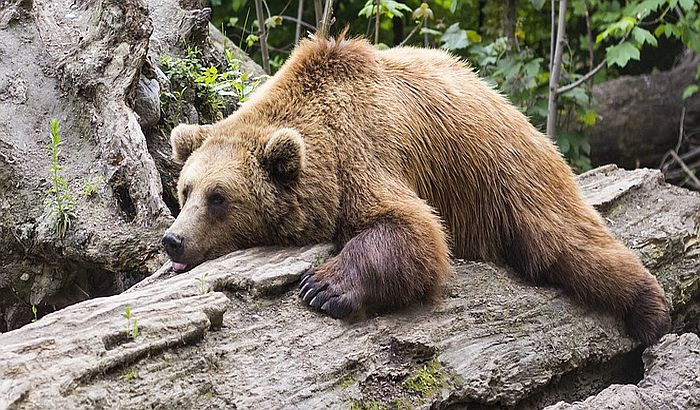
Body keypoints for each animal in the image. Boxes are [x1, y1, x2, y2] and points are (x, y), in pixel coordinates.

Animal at [164, 32, 672, 346]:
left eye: (219, 197)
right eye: (185, 190)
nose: (174, 240)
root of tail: (503, 99)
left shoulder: (365, 155)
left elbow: (414, 230)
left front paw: (323, 286)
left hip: (507, 173)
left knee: (568, 243)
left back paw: (650, 310)